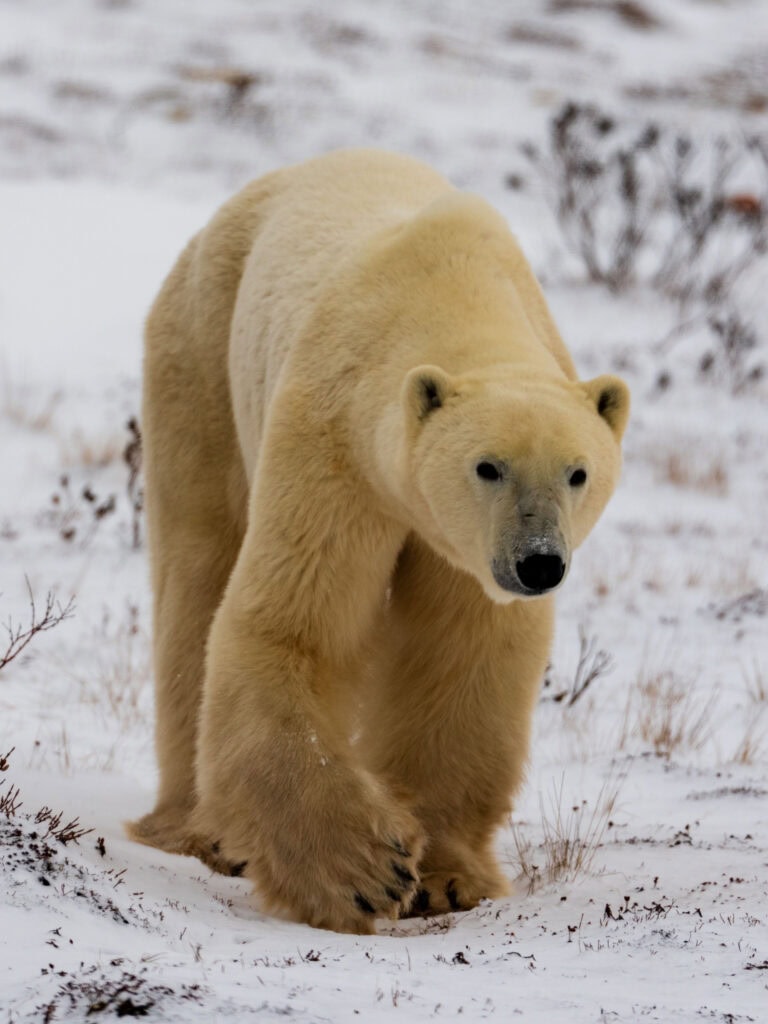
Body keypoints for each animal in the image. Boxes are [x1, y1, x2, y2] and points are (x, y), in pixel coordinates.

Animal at [128, 148, 629, 934]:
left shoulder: (459, 550)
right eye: (488, 466)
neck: (448, 291)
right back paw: (197, 830)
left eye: (578, 472)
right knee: (198, 572)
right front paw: (364, 871)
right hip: (201, 353)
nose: (539, 563)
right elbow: (295, 623)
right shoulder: (337, 441)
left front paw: (445, 878)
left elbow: (464, 656)